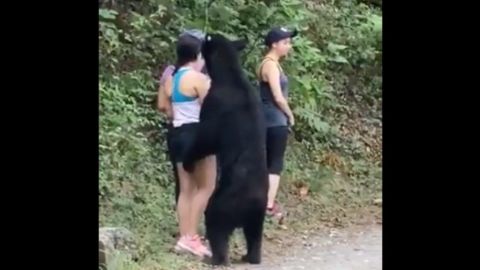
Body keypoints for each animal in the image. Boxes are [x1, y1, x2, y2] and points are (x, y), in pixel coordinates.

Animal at [183, 33, 268, 266]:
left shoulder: (214, 103)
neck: (229, 75)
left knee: (216, 224)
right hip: (258, 214)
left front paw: (188, 160)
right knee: (254, 235)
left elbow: (206, 138)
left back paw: (217, 258)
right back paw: (251, 256)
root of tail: (250, 203)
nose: (202, 37)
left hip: (223, 202)